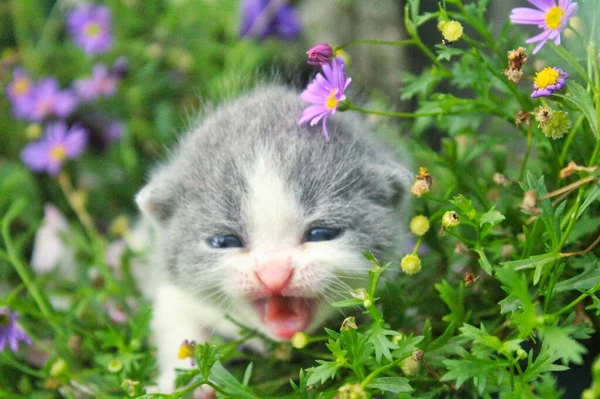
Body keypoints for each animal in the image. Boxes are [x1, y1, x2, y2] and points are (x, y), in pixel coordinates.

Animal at [134, 86, 412, 392]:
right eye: (224, 242)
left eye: (321, 234)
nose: (274, 275)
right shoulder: (171, 286)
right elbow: (174, 321)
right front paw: (180, 383)